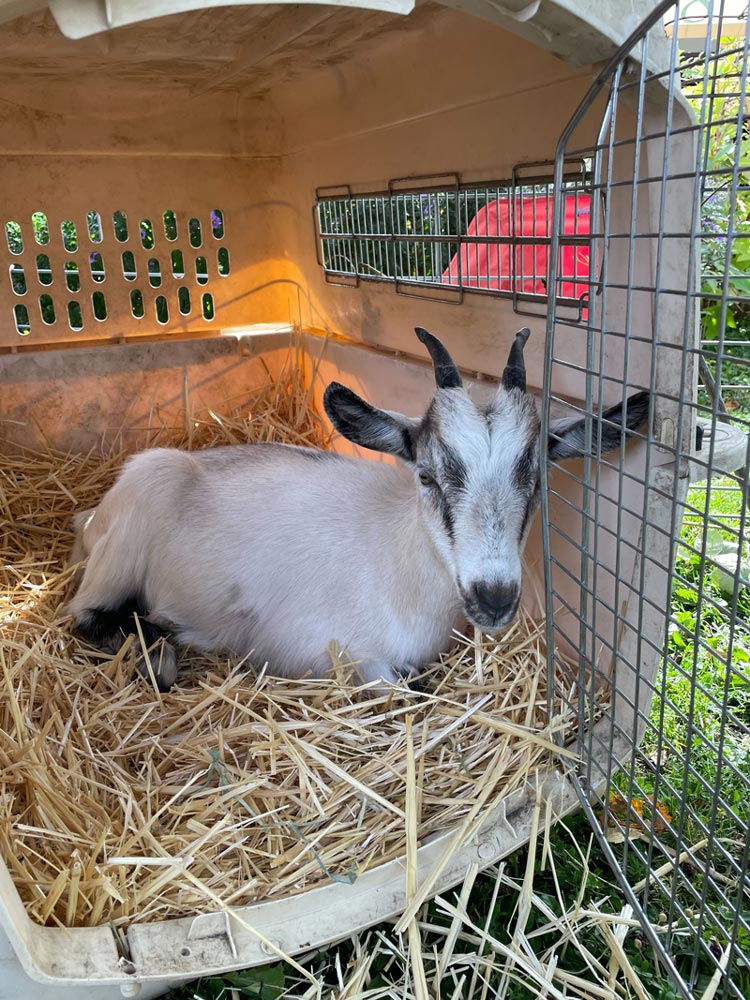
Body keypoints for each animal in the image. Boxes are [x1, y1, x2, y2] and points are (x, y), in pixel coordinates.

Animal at [67, 328, 649, 691]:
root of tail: (90, 517)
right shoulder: (317, 651)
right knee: (84, 617)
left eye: (535, 481)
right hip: (132, 528)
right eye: (426, 475)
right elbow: (410, 687)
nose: (494, 597)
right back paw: (161, 654)